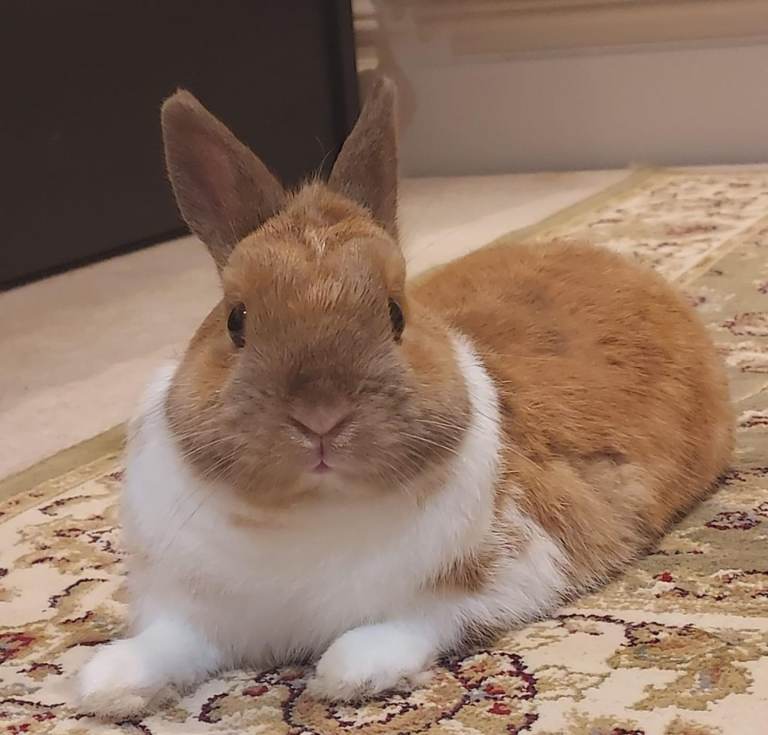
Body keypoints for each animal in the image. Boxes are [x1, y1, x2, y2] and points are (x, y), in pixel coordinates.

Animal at [77, 77, 733, 718]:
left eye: (396, 313)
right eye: (236, 320)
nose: (321, 417)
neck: (314, 512)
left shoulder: (509, 570)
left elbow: (419, 619)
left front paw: (351, 672)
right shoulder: (200, 611)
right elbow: (173, 641)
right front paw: (107, 682)